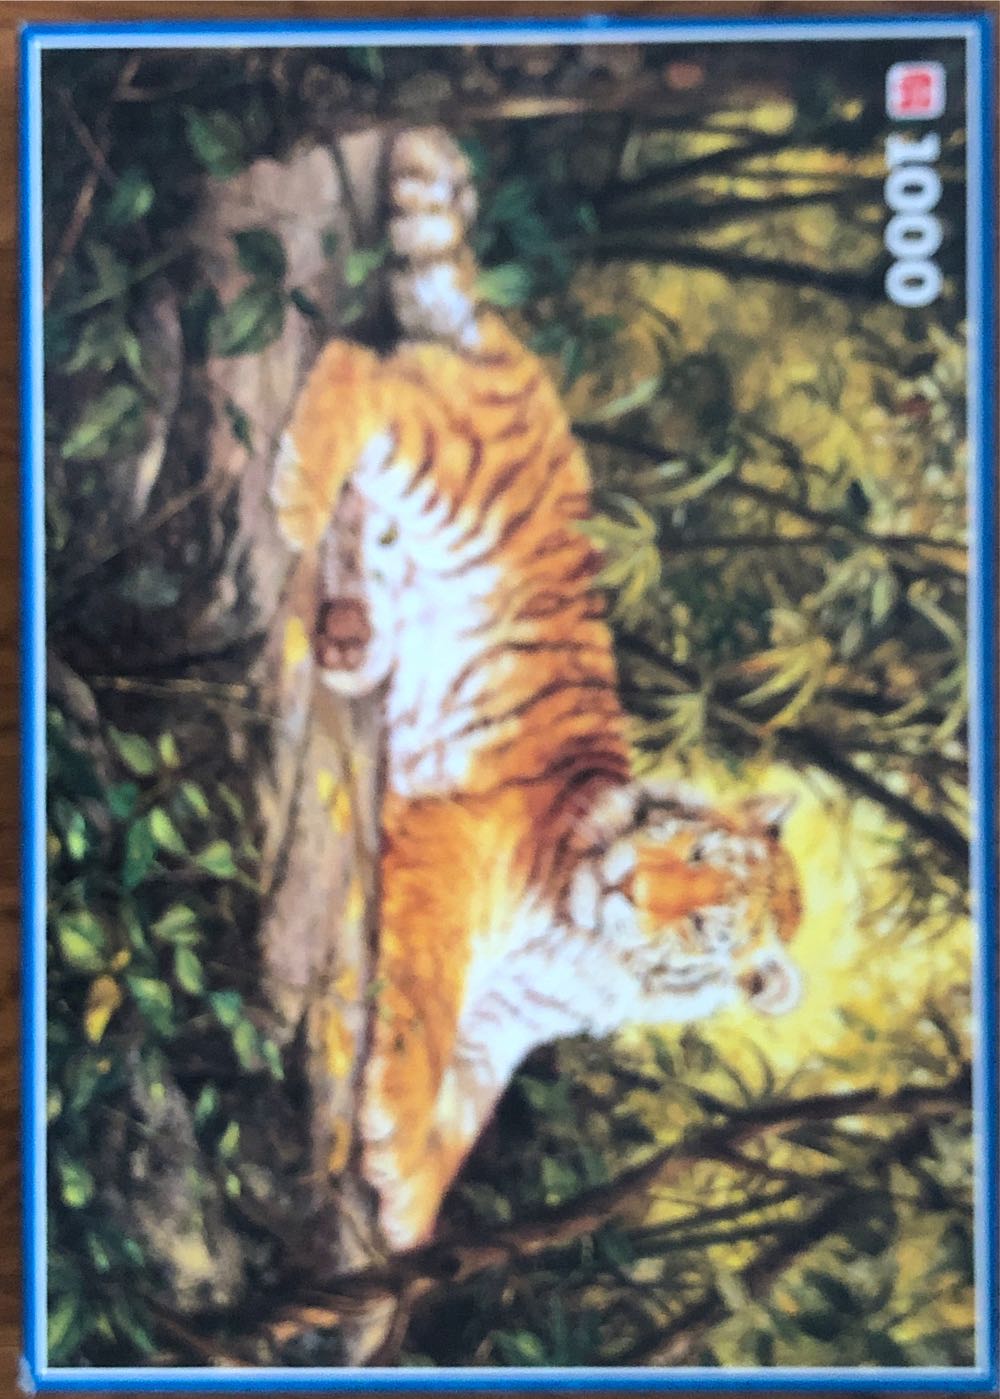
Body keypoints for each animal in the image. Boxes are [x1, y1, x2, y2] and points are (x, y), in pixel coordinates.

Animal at [271, 128, 804, 1253]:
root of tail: (518, 355)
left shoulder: (510, 1025)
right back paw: (291, 493)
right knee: (363, 369)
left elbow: (467, 1122)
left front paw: (409, 1207)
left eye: (707, 923)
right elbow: (423, 1010)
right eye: (695, 856)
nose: (632, 887)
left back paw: (349, 637)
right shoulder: (454, 854)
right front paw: (389, 1128)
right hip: (443, 464)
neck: (589, 943)